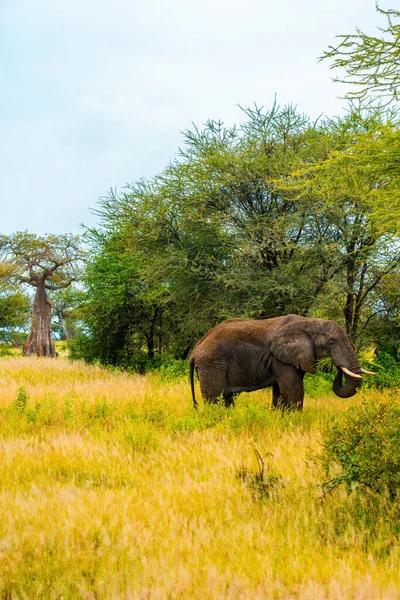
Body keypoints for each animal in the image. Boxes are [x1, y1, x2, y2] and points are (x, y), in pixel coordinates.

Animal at [188, 314, 376, 408]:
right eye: (331, 342)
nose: (337, 367)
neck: (309, 321)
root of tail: (195, 350)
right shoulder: (281, 357)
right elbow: (293, 389)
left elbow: (280, 392)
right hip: (212, 365)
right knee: (215, 399)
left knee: (226, 399)